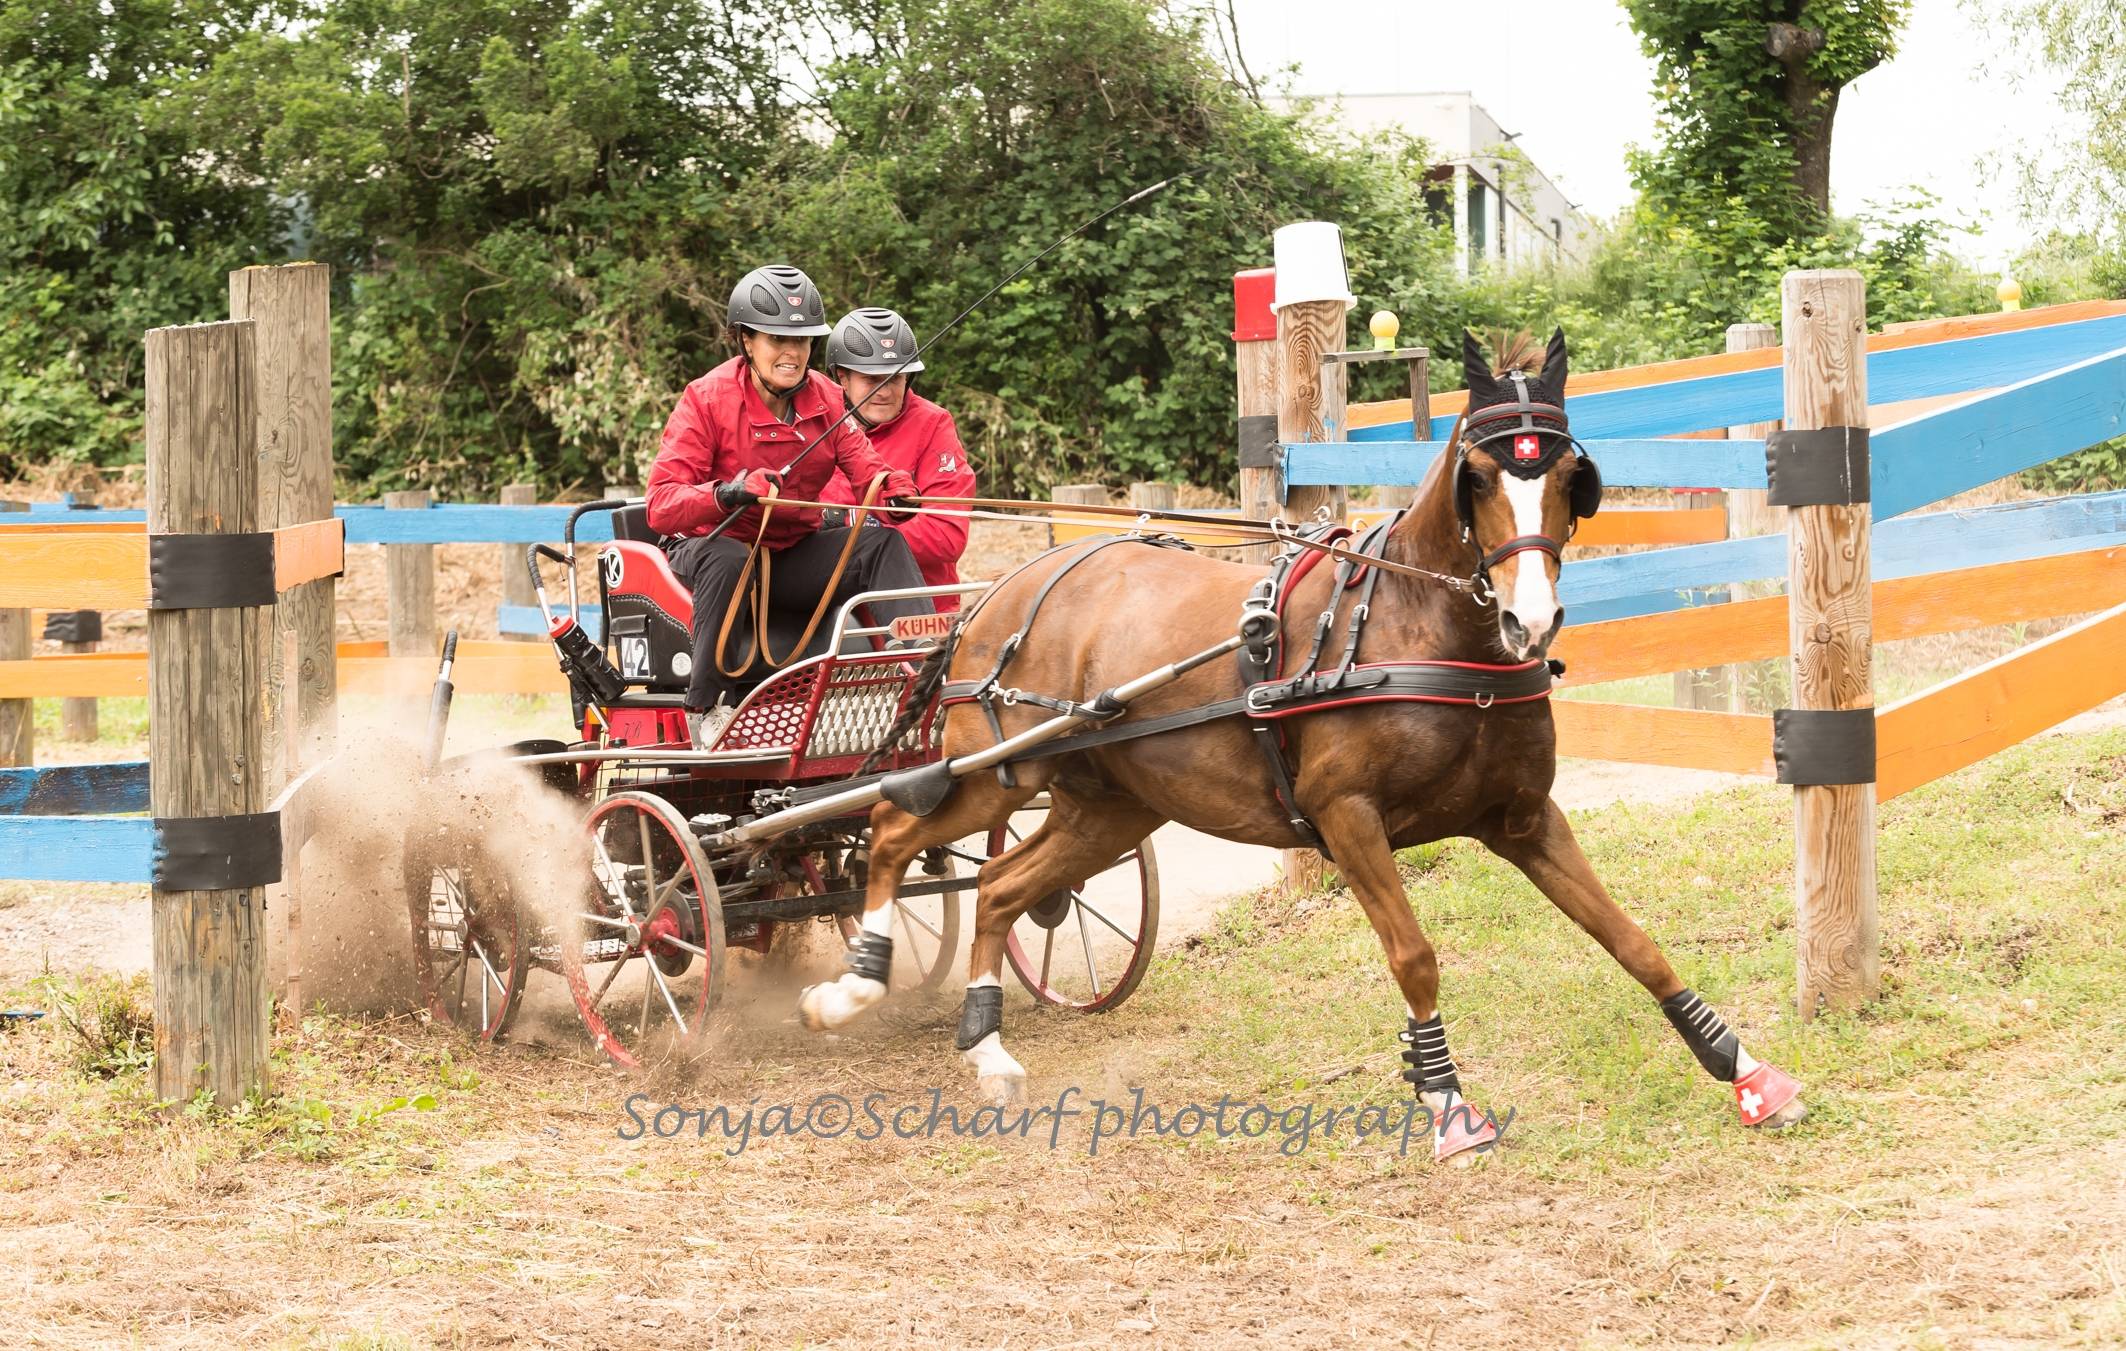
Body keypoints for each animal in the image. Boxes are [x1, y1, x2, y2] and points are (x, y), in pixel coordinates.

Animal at [803, 329, 1802, 1165]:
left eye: (1567, 475)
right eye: (1479, 476)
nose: (1531, 619)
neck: (1420, 629)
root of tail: (1007, 588)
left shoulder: (1523, 818)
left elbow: (1632, 938)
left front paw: (1743, 1068)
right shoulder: (1347, 818)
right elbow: (1415, 955)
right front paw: (1446, 1103)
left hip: (1110, 804)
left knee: (1005, 886)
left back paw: (988, 1048)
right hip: (998, 770)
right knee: (893, 832)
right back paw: (853, 987)